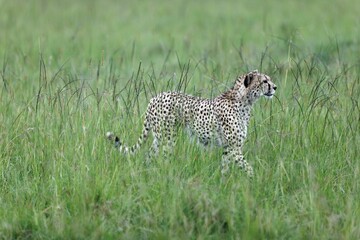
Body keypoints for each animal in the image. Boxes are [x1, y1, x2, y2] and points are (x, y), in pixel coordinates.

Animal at [105, 69, 278, 176]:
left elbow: (225, 167)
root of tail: (155, 97)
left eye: (269, 80)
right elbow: (248, 168)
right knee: (163, 156)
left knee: (149, 154)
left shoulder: (228, 148)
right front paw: (255, 181)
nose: (275, 87)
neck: (244, 101)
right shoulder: (235, 148)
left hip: (158, 137)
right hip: (169, 137)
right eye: (264, 81)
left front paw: (223, 184)